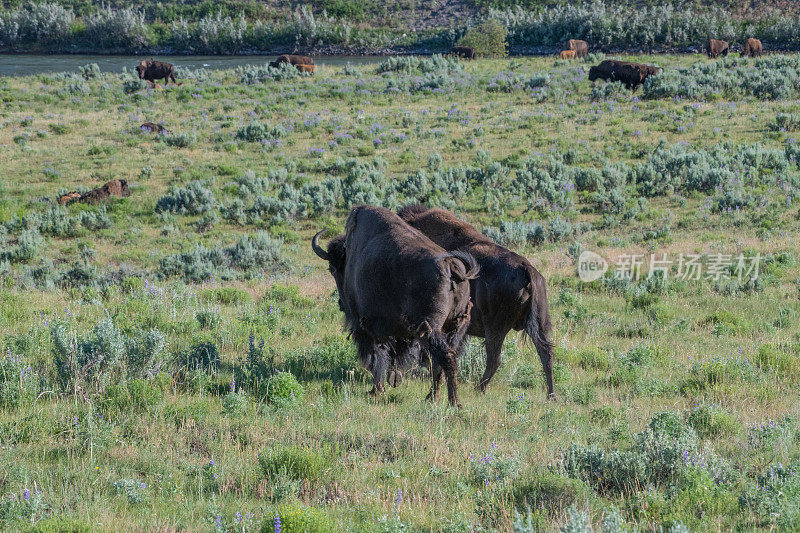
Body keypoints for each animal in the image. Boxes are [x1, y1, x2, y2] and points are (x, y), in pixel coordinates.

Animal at [396, 206, 556, 396]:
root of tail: (527, 269)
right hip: (538, 324)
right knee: (546, 353)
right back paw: (551, 395)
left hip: (495, 329)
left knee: (495, 359)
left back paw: (479, 389)